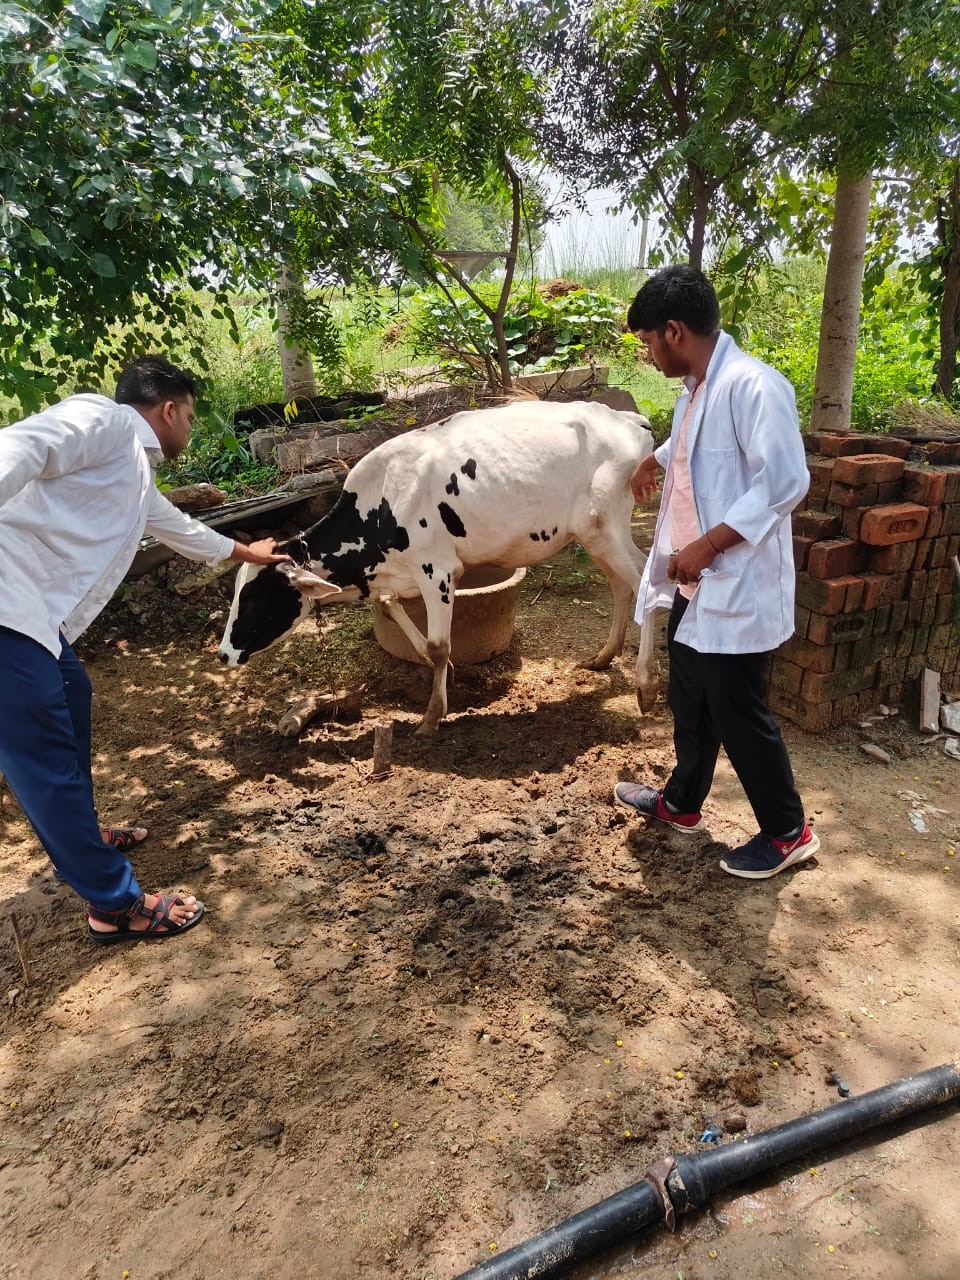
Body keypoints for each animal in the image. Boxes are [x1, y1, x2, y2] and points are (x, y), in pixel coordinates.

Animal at [217, 404, 655, 737]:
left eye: (255, 600)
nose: (223, 655)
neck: (380, 509)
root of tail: (627, 419)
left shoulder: (438, 570)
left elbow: (439, 644)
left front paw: (431, 716)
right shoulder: (403, 574)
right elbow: (392, 608)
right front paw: (443, 674)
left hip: (605, 529)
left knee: (643, 582)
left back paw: (645, 687)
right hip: (593, 536)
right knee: (621, 587)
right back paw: (603, 657)